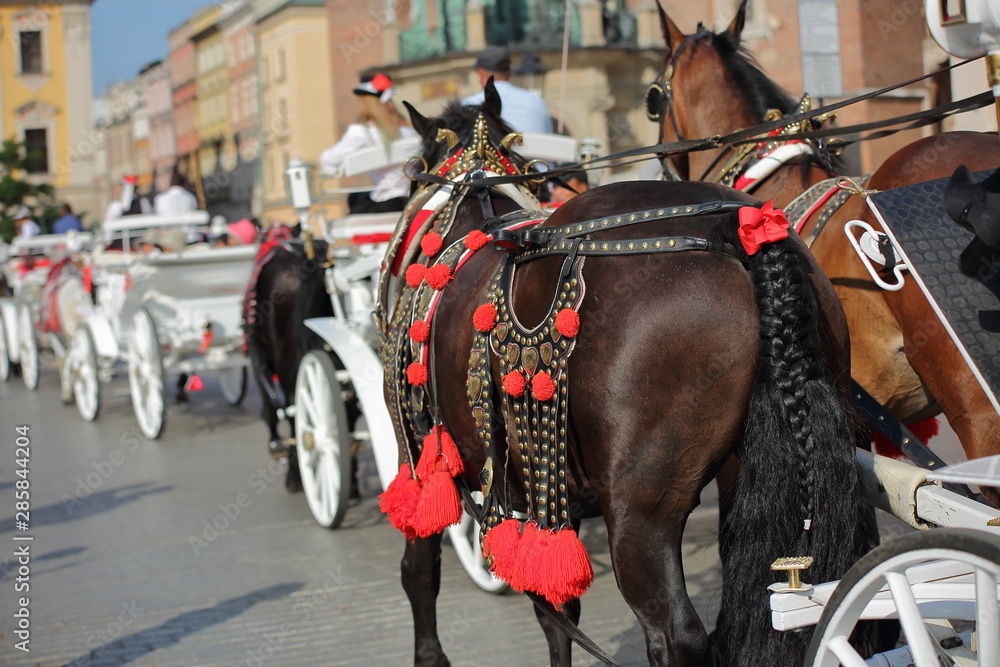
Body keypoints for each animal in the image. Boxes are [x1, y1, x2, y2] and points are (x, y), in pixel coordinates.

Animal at [378, 83, 872, 667]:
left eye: (414, 171)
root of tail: (735, 230)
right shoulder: (544, 483)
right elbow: (556, 606)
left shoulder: (418, 457)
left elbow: (420, 569)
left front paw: (429, 655)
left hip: (640, 512)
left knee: (675, 635)